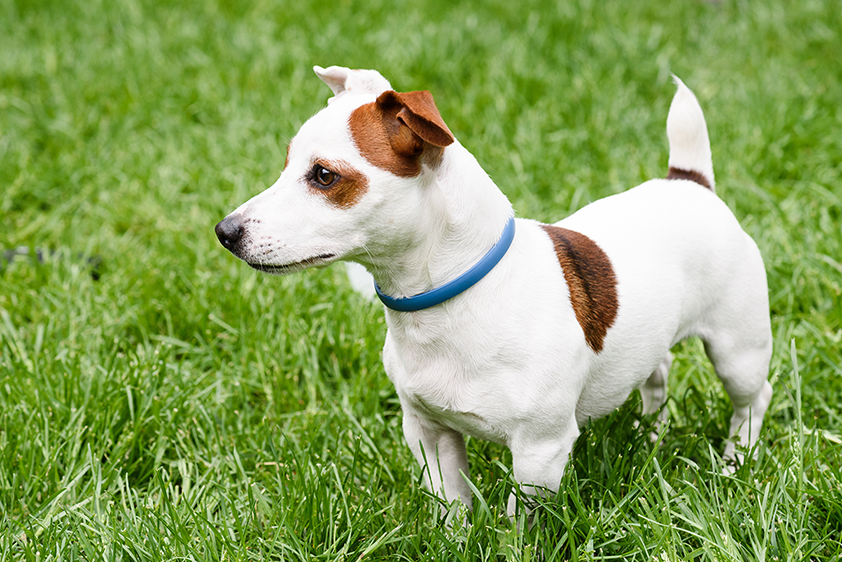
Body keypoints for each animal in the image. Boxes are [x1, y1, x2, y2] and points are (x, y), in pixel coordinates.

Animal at [213, 63, 772, 516]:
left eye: (324, 176)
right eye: (287, 163)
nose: (225, 231)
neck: (453, 299)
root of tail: (689, 182)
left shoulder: (539, 452)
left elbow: (519, 520)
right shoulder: (428, 432)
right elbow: (451, 501)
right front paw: (456, 537)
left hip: (737, 350)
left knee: (752, 399)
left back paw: (734, 463)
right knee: (657, 373)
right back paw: (648, 435)